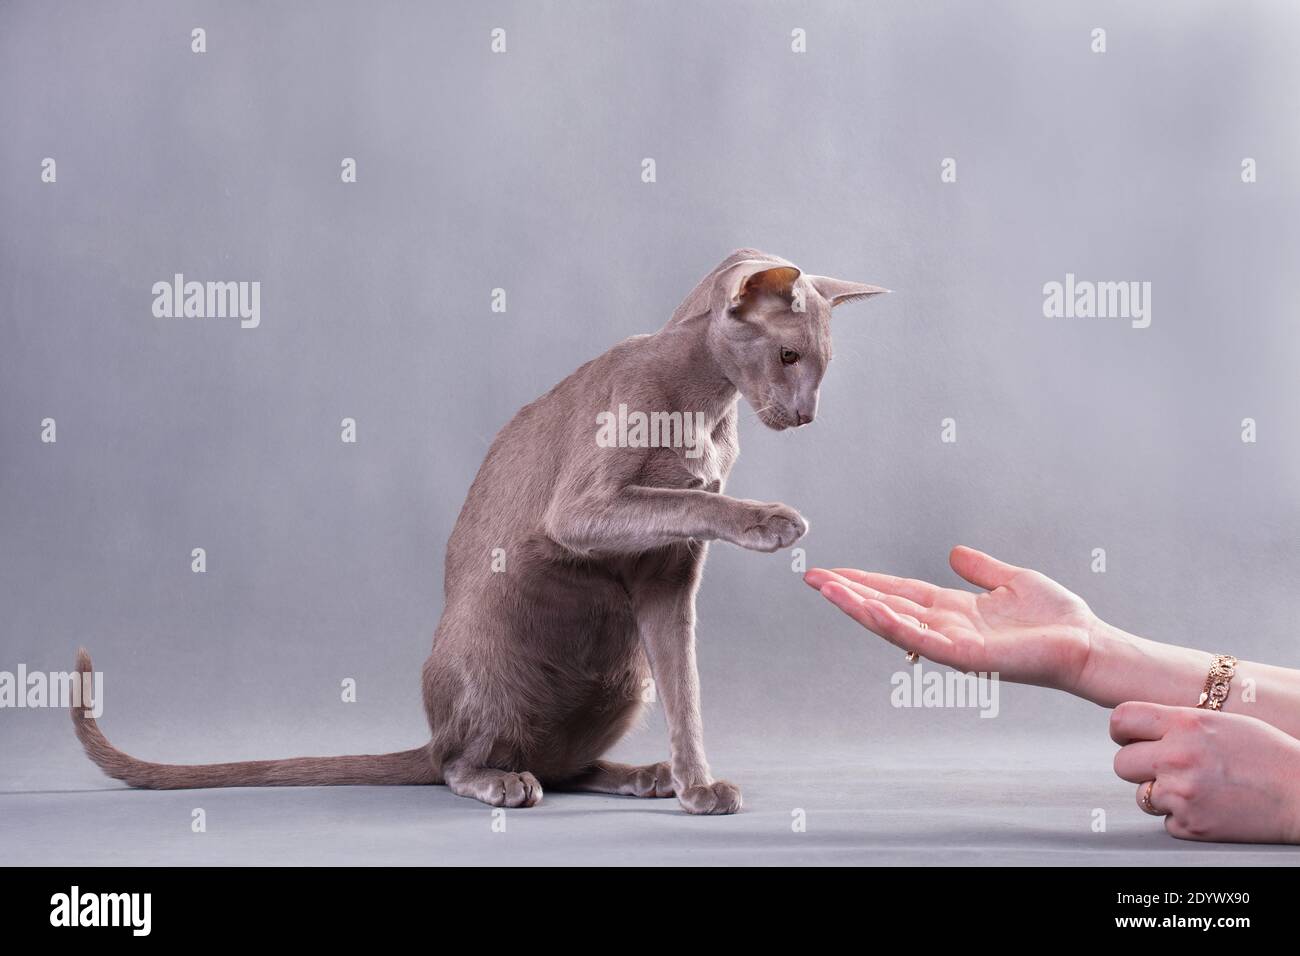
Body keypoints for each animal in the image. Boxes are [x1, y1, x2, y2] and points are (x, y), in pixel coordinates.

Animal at [71, 248, 883, 816]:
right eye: (787, 356)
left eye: (824, 366)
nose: (806, 414)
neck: (706, 406)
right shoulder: (586, 509)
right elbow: (687, 500)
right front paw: (769, 519)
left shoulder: (667, 577)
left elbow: (690, 693)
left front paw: (697, 785)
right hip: (488, 654)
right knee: (459, 763)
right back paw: (503, 783)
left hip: (627, 677)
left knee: (566, 764)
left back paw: (643, 776)